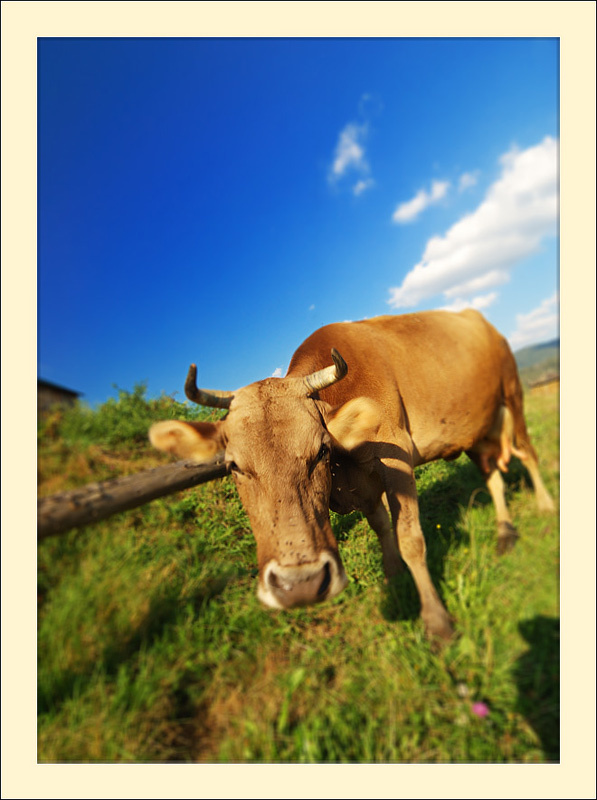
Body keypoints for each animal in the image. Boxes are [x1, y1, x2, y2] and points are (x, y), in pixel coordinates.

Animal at [149, 309, 555, 641]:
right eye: (233, 466)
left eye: (320, 451)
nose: (301, 585)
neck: (344, 471)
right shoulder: (362, 486)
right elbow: (380, 526)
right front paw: (394, 579)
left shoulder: (397, 460)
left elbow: (410, 538)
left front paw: (437, 622)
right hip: (474, 426)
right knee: (493, 477)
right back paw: (505, 533)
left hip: (512, 392)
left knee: (530, 455)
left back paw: (546, 506)